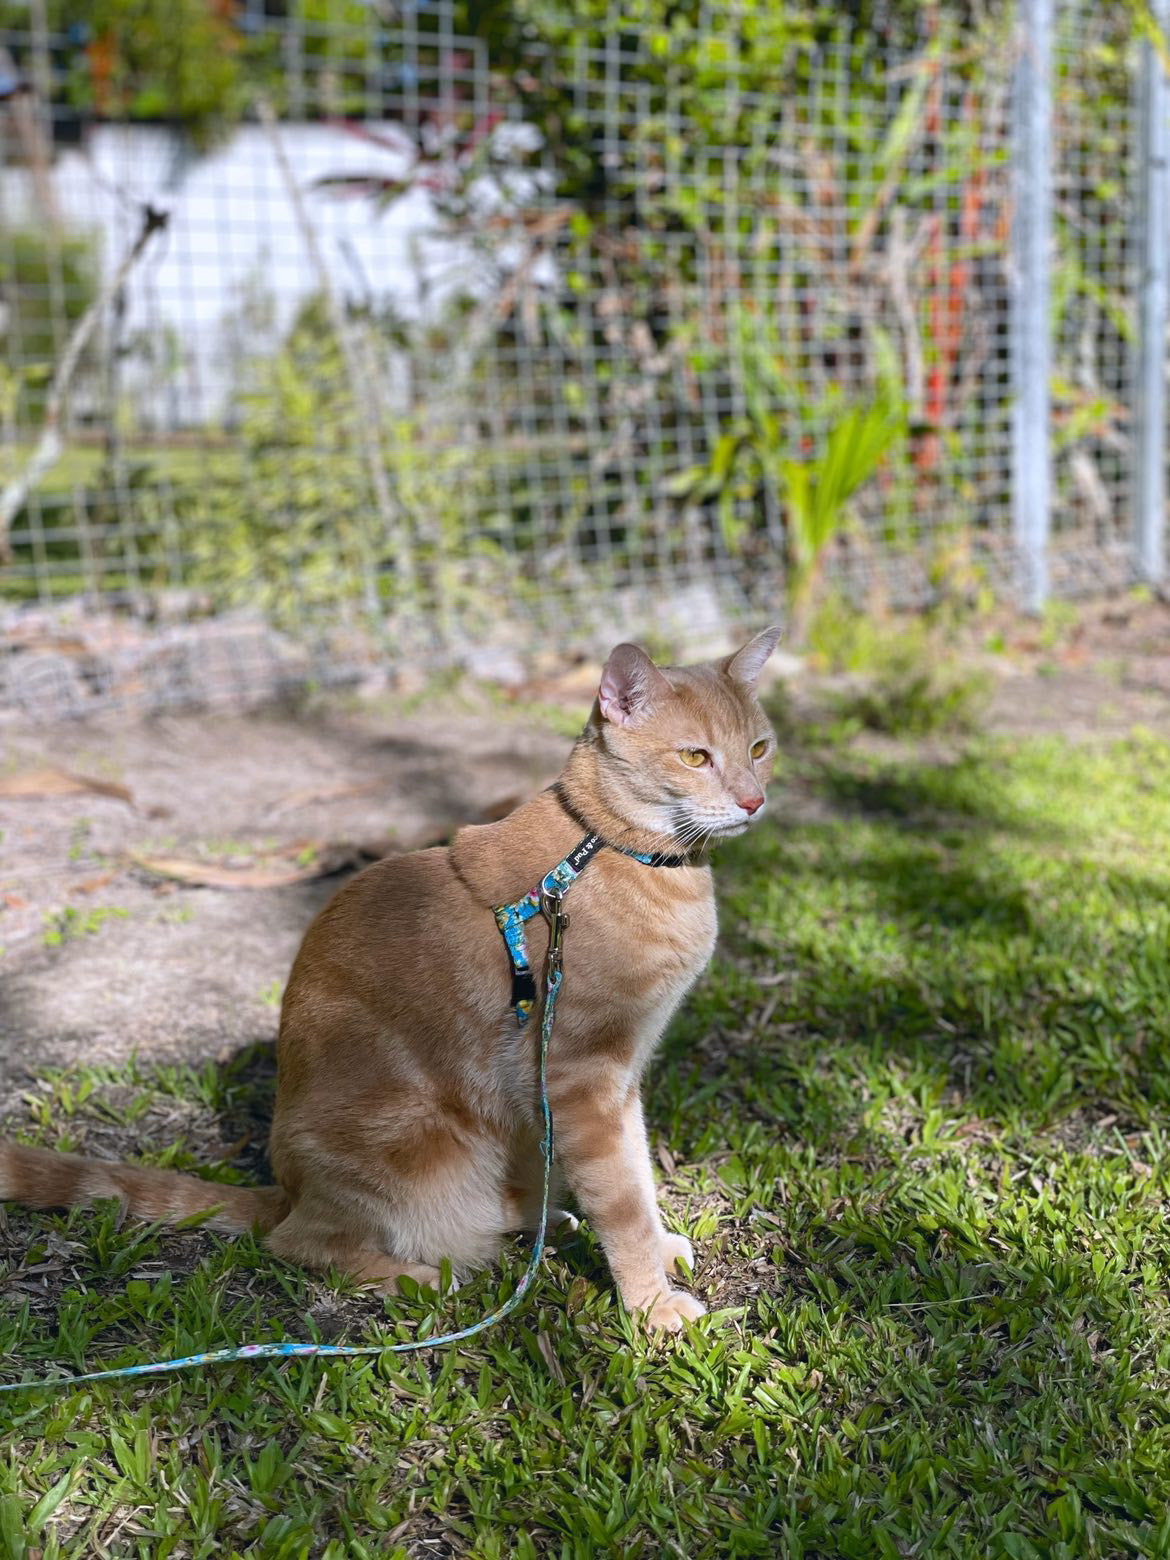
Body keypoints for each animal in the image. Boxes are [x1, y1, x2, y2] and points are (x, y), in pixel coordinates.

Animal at [6, 627, 789, 1335]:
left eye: (758, 749)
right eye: (695, 756)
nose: (753, 802)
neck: (608, 851)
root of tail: (285, 1189)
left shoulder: (620, 1080)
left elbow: (638, 1175)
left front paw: (655, 1252)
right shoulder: (583, 1076)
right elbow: (620, 1198)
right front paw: (650, 1305)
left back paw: (536, 1215)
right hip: (416, 1139)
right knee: (298, 1242)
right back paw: (423, 1274)